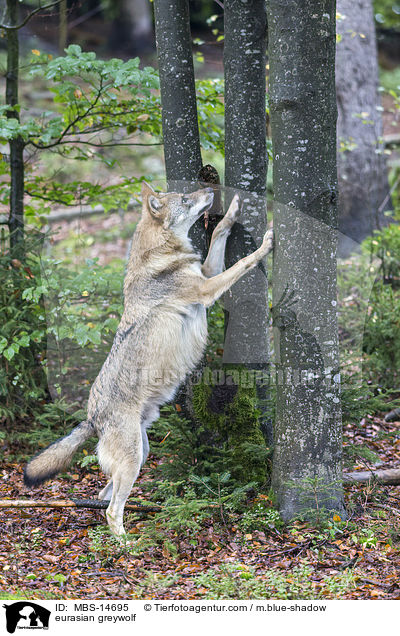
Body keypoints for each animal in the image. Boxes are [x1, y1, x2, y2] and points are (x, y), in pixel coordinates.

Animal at [24, 181, 276, 540]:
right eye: (184, 198)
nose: (209, 190)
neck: (160, 255)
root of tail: (91, 417)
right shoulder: (207, 289)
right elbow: (244, 263)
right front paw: (267, 243)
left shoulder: (207, 273)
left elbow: (218, 233)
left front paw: (234, 209)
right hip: (133, 460)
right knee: (112, 509)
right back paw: (128, 545)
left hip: (141, 454)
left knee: (105, 493)